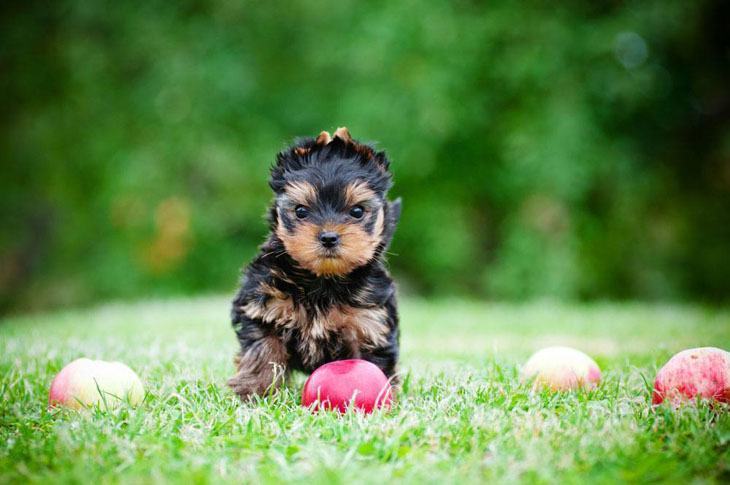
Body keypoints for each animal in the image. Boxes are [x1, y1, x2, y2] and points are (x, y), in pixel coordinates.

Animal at [228, 126, 398, 398]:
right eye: (300, 211)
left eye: (357, 211)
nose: (328, 237)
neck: (322, 280)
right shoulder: (262, 306)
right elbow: (263, 349)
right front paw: (256, 388)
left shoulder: (369, 323)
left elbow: (373, 362)